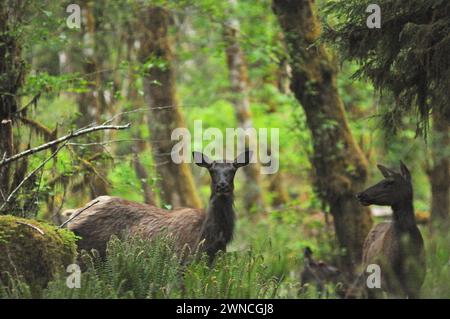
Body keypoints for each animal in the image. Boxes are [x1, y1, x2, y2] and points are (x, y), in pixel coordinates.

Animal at [66, 151, 253, 264]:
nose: (222, 185)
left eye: (233, 169)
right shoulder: (183, 260)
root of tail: (71, 217)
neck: (211, 235)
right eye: (212, 170)